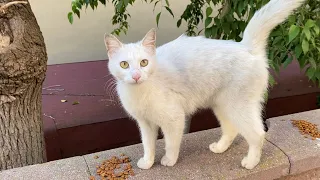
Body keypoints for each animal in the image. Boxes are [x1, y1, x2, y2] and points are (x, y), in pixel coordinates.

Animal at [104, 0, 304, 170]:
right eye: (124, 64)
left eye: (144, 62)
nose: (136, 75)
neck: (140, 92)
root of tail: (246, 46)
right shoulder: (145, 123)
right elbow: (148, 144)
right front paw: (148, 162)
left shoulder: (174, 119)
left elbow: (171, 143)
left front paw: (169, 160)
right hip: (222, 106)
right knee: (231, 129)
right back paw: (220, 148)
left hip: (238, 107)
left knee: (258, 134)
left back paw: (251, 162)